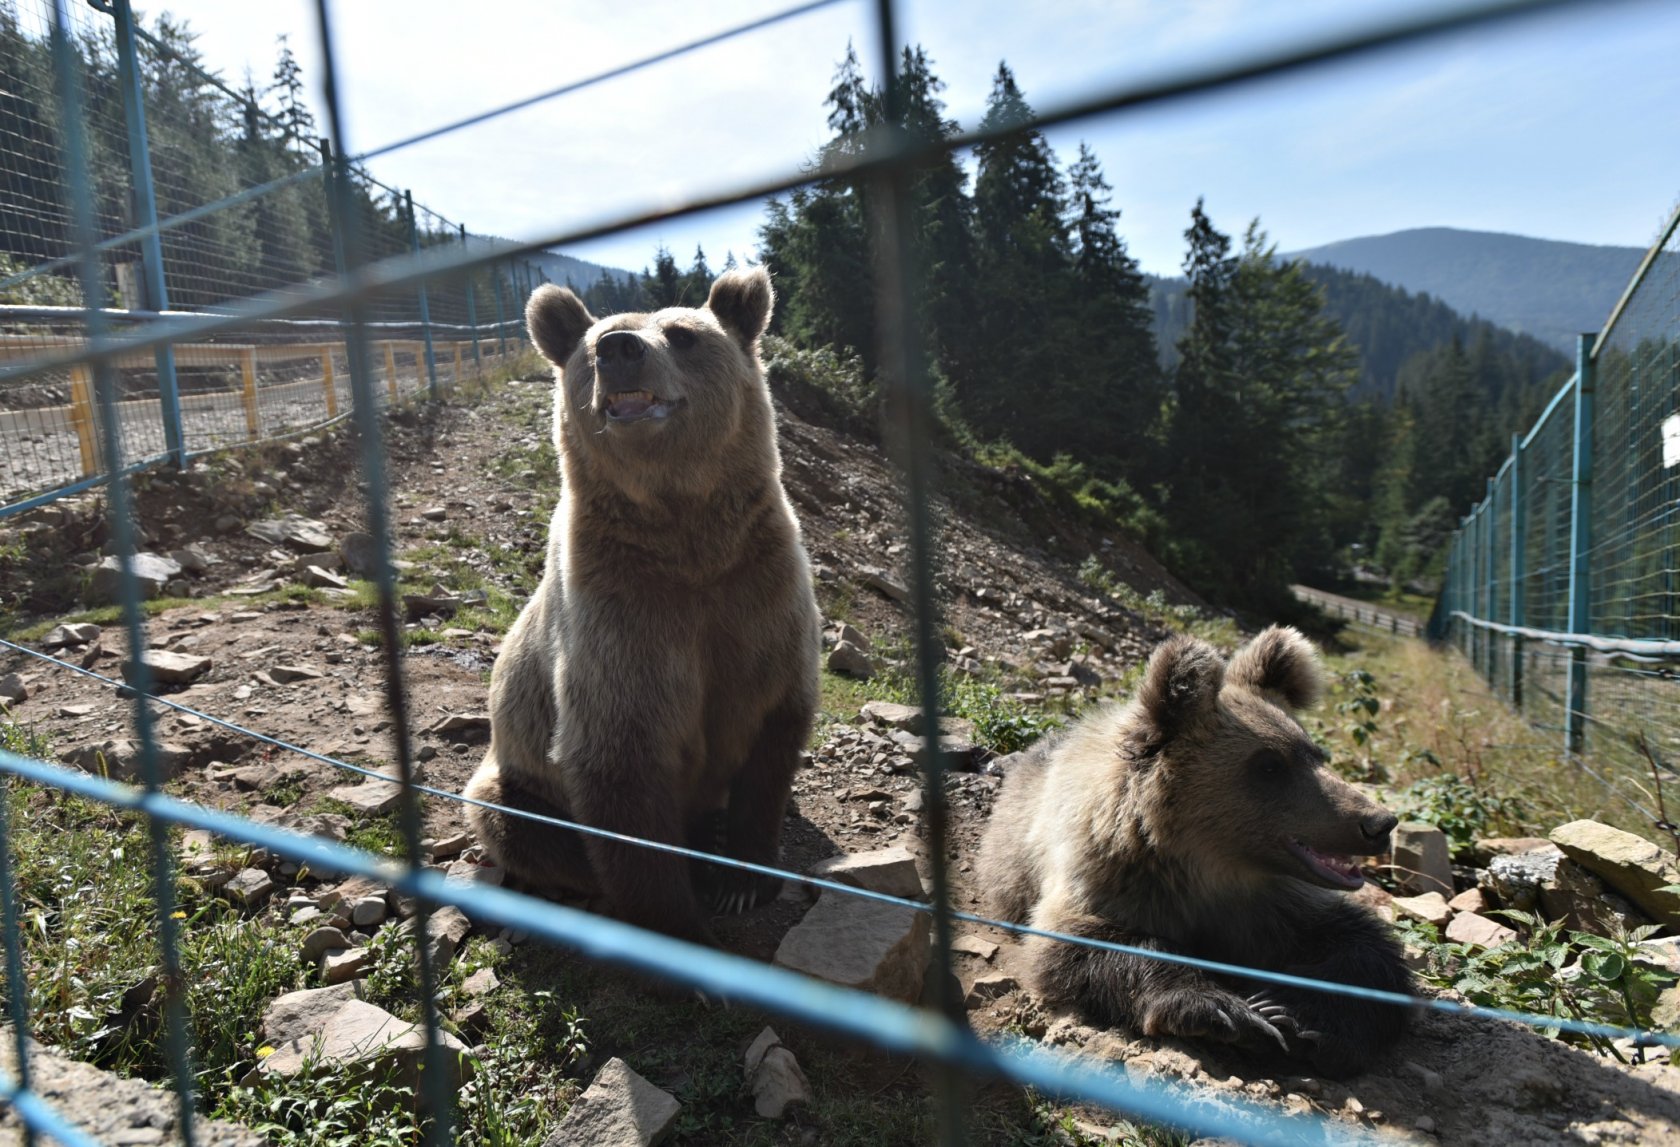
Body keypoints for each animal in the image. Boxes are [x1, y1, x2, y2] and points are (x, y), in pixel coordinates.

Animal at [467, 268, 819, 953]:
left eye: (682, 334)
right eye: (593, 342)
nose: (619, 349)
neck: (688, 544)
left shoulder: (759, 596)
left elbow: (772, 730)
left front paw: (743, 878)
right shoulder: (620, 619)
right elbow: (618, 763)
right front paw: (686, 934)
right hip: (513, 780)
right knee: (525, 830)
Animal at [981, 628, 1411, 1074]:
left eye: (1316, 754)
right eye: (1270, 764)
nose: (1379, 823)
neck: (1208, 863)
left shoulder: (1277, 904)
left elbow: (1363, 949)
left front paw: (1293, 1015)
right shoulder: (1109, 877)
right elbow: (1082, 943)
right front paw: (1231, 1014)